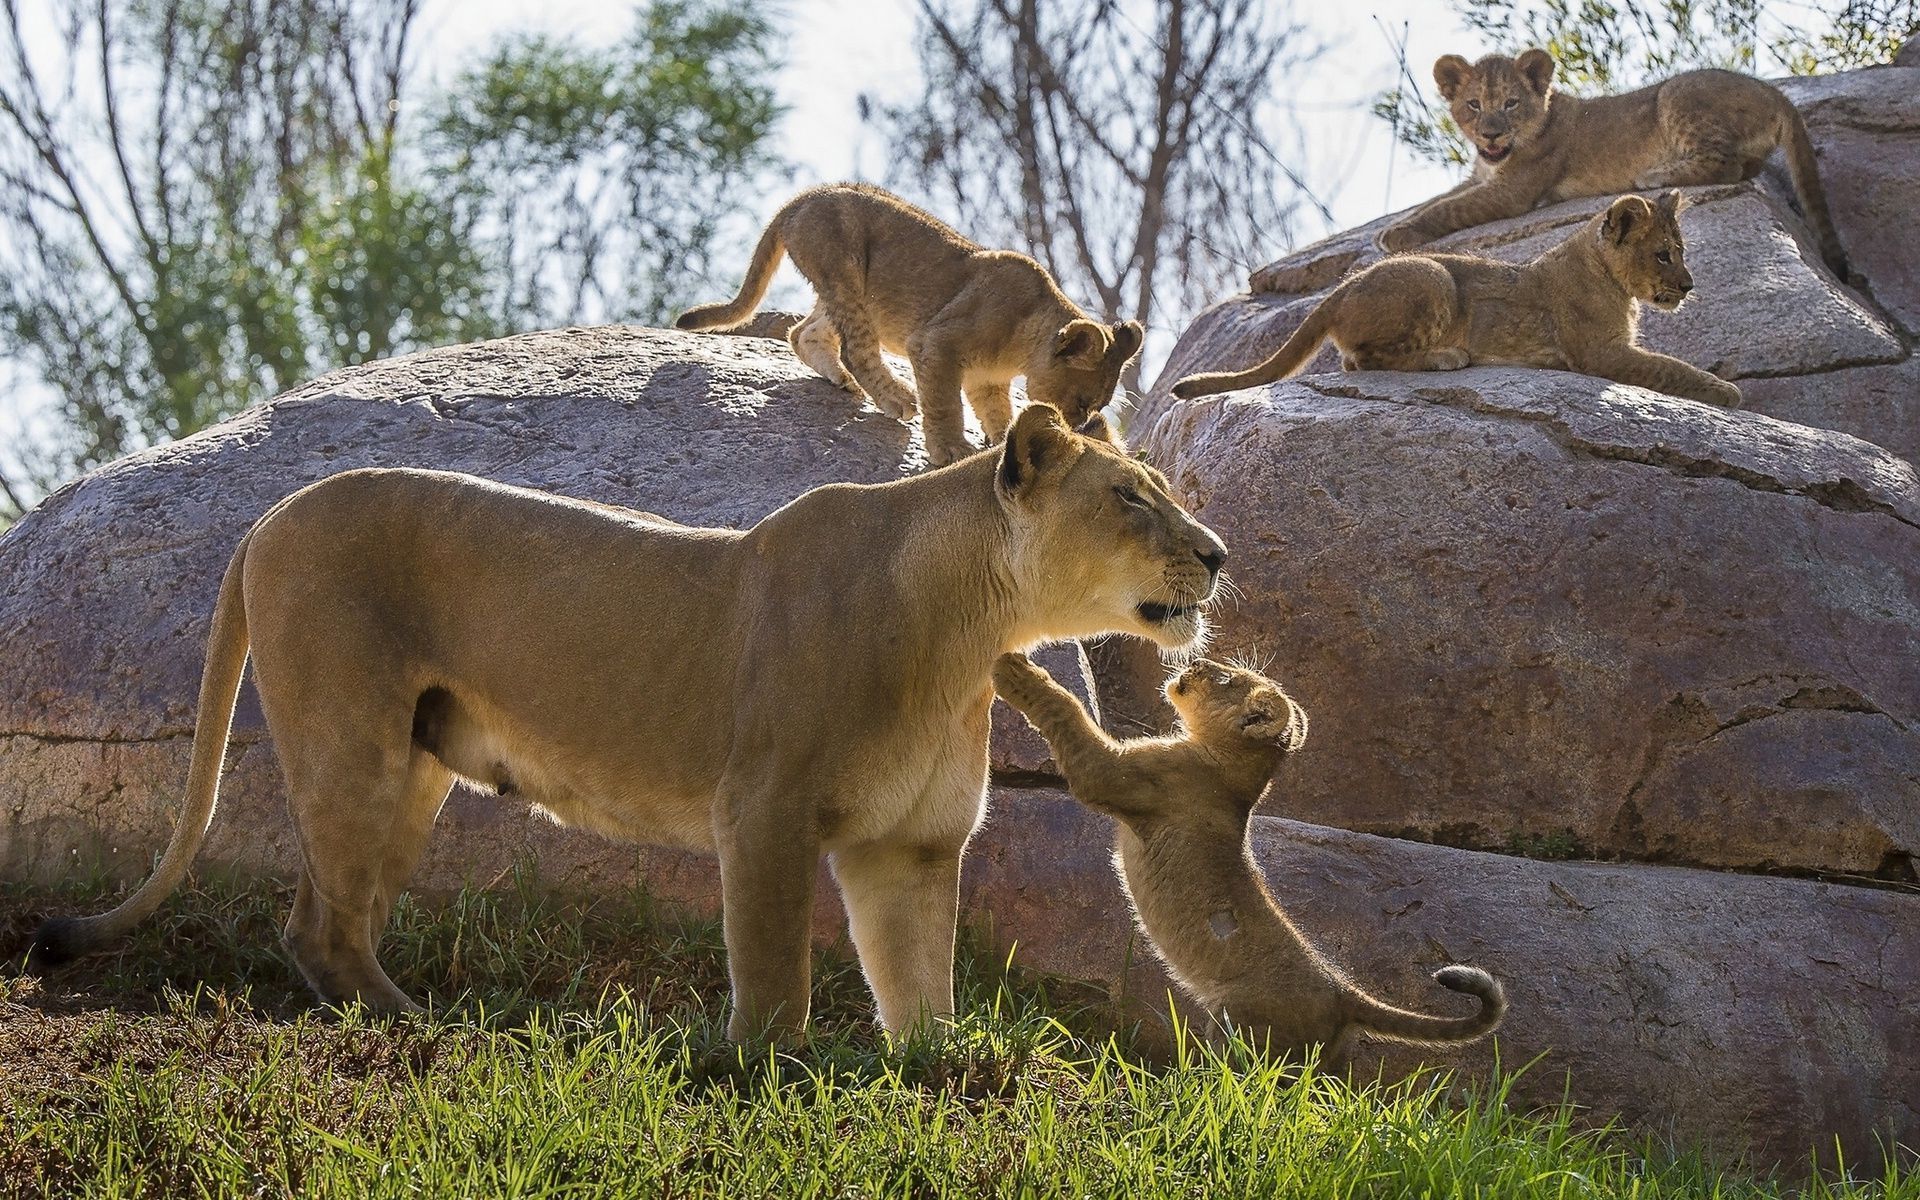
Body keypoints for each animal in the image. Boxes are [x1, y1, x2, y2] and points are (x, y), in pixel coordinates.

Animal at [31, 405, 1228, 1043]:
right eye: (1130, 498)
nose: (1217, 553)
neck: (968, 634)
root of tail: (263, 518)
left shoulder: (912, 848)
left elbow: (918, 987)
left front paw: (935, 1077)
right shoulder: (765, 808)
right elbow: (775, 973)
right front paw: (772, 1069)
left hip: (414, 766)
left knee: (323, 914)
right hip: (348, 741)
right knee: (322, 925)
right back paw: (423, 1028)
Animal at [675, 184, 1144, 467]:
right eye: (1081, 403)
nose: (1080, 430)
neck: (1023, 347)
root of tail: (803, 196)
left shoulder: (987, 381)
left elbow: (997, 411)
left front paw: (1001, 443)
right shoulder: (935, 343)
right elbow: (944, 402)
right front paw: (952, 449)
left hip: (845, 288)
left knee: (802, 333)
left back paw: (842, 381)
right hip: (844, 264)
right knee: (856, 349)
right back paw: (895, 397)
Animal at [991, 652, 1506, 1063]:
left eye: (1226, 678)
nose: (1196, 661)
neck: (1234, 773)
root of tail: (1341, 991)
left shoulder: (1119, 775)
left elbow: (1068, 711)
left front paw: (1014, 670)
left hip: (1237, 1025)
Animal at [1181, 190, 1740, 408]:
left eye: (1681, 251)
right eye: (1663, 255)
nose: (1689, 286)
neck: (1605, 271)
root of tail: (1339, 288)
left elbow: (1671, 364)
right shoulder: (1602, 353)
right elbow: (1671, 368)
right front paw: (1728, 391)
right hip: (1434, 275)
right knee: (1361, 361)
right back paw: (1447, 357)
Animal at [1370, 49, 1848, 279]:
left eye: (1509, 103)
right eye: (1473, 105)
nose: (1490, 134)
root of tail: (1776, 92)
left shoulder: (1513, 191)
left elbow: (1449, 208)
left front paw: (1397, 235)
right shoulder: (1481, 174)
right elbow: (1437, 198)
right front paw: (1391, 224)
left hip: (1674, 94)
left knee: (1728, 165)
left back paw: (1654, 174)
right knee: (1745, 168)